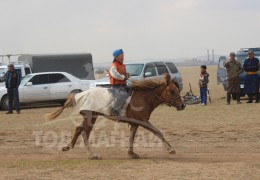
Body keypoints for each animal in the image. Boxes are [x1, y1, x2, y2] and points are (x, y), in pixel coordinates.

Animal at [46, 73, 185, 159]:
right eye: (172, 91)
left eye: (177, 90)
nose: (182, 105)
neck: (144, 98)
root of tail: (79, 95)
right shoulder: (143, 121)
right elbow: (157, 131)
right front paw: (170, 149)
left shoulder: (135, 123)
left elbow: (131, 137)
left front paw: (131, 153)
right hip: (91, 117)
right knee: (85, 132)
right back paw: (93, 155)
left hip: (89, 117)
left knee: (79, 129)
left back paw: (68, 147)